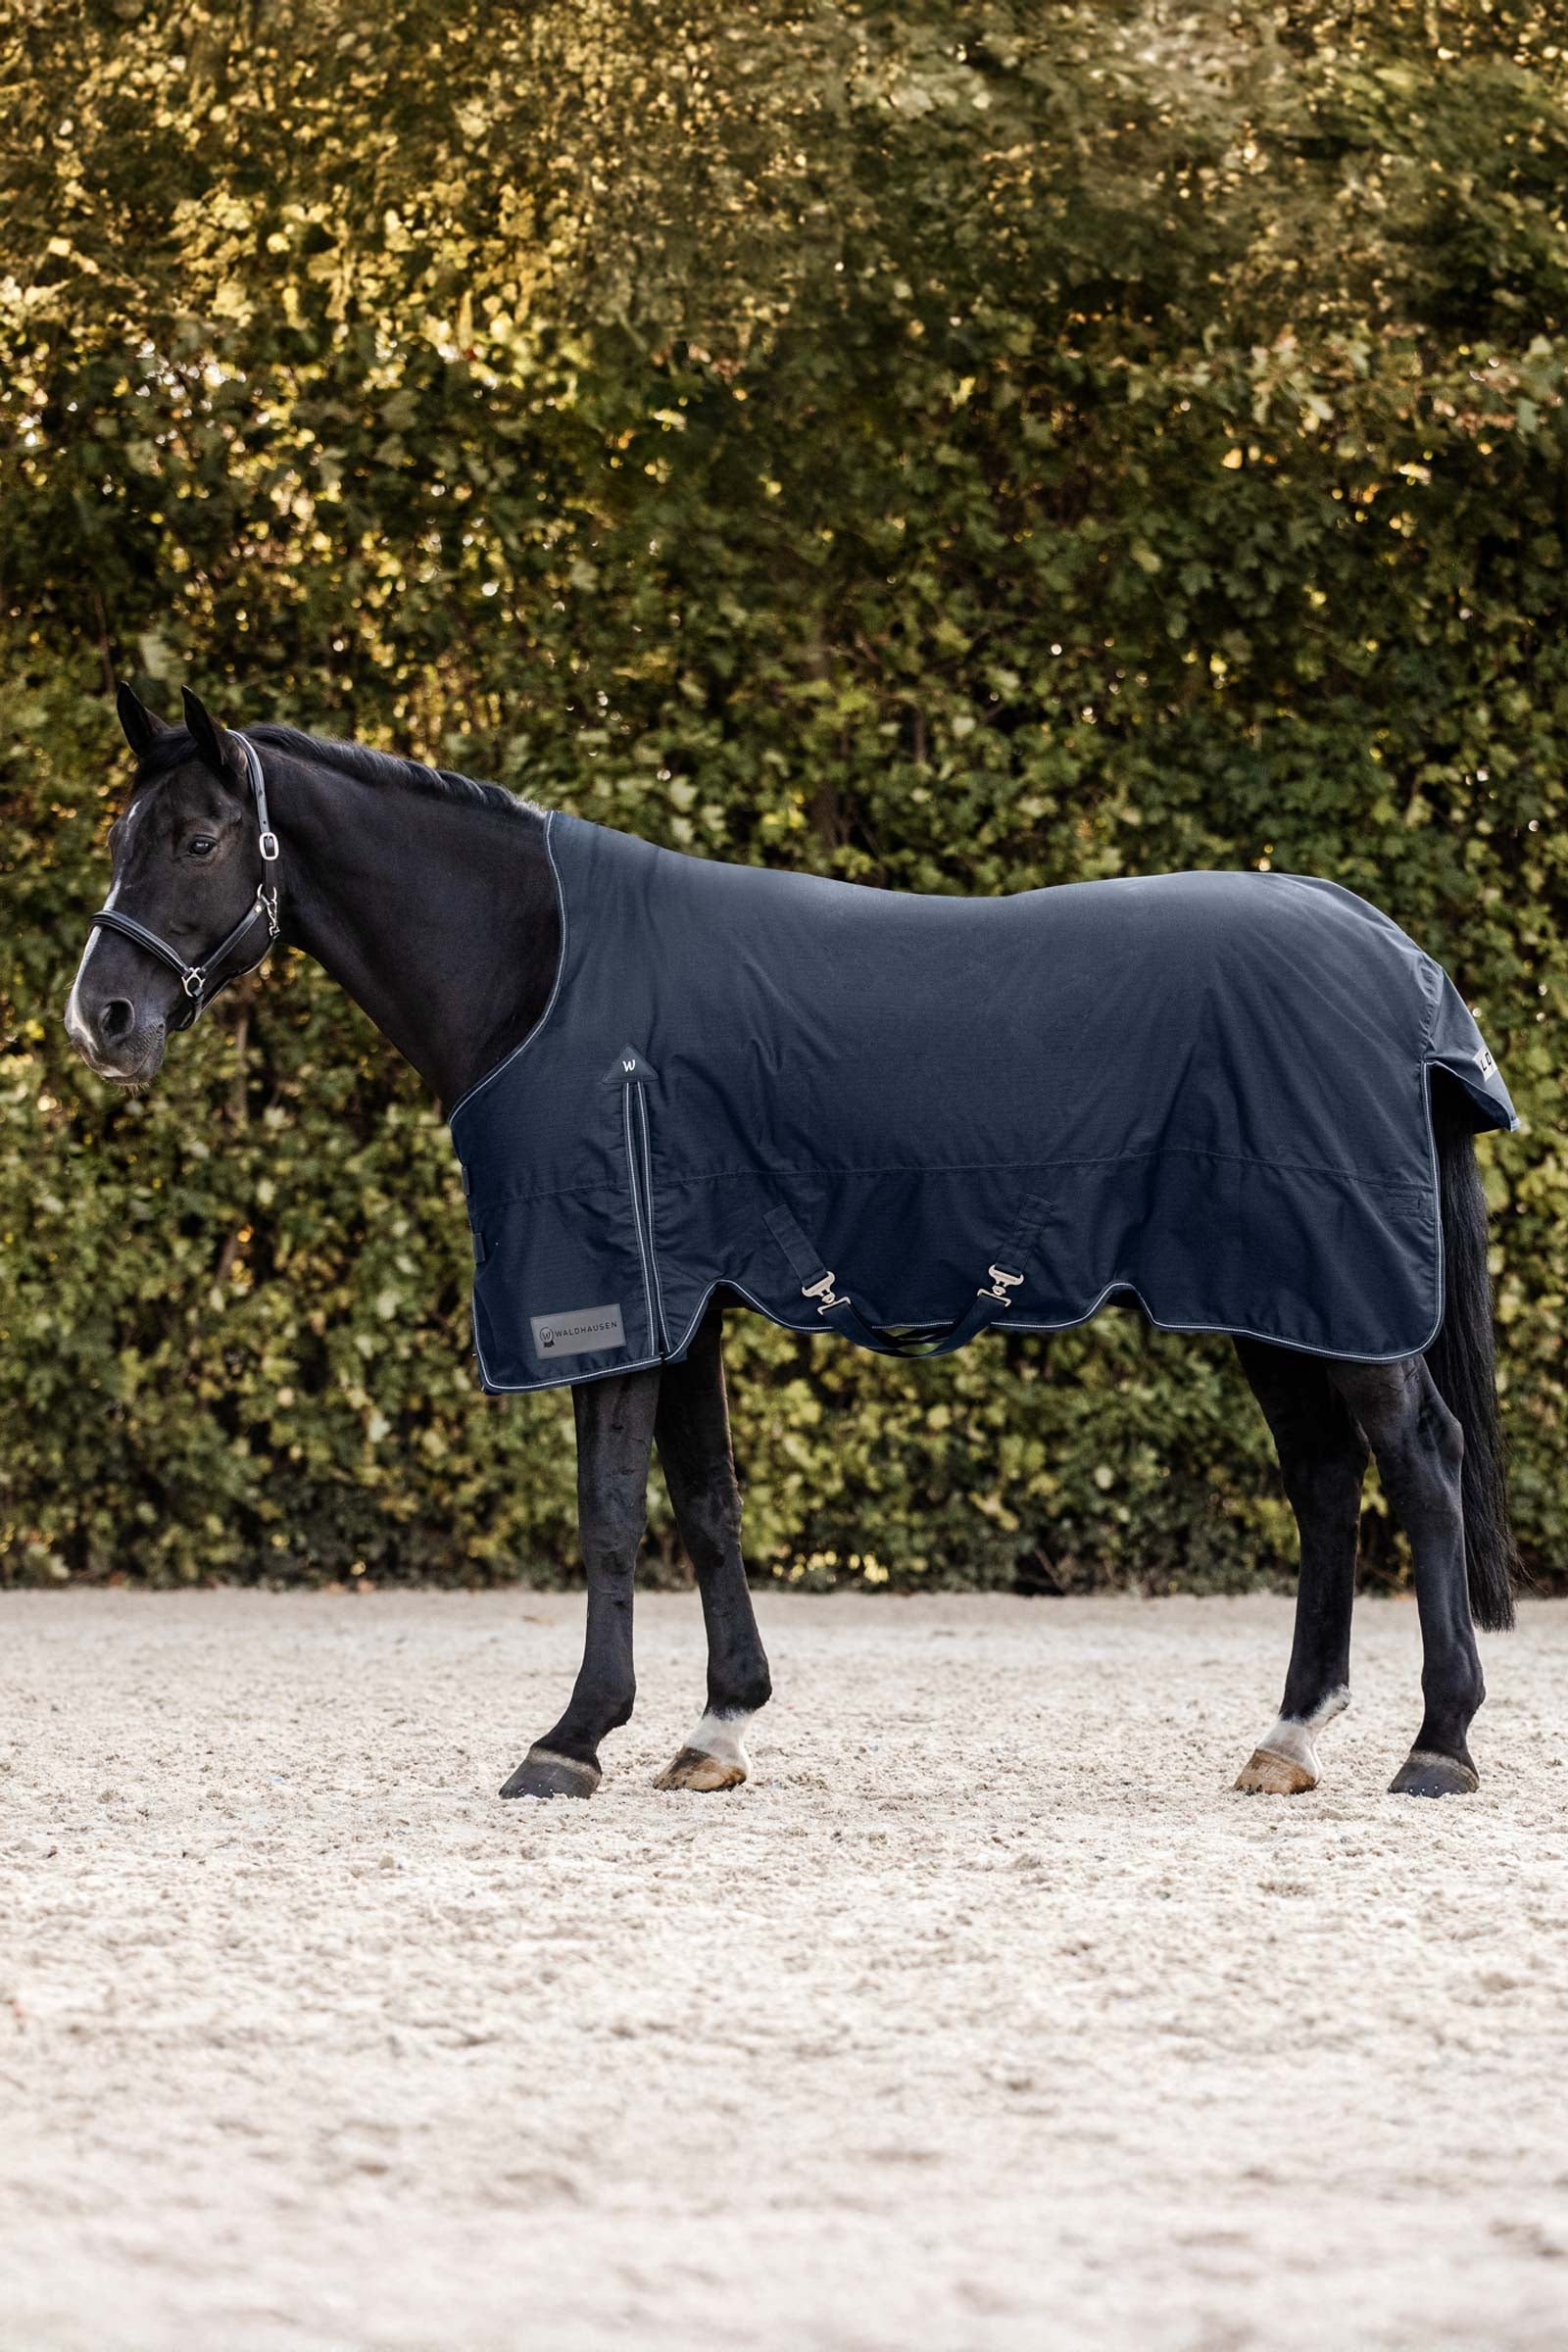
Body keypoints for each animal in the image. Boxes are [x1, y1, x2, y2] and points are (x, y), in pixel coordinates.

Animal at [63, 682, 1519, 1802]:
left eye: (199, 836)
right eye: (126, 831)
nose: (103, 1018)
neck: (548, 973)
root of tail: (1390, 954)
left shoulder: (611, 1299)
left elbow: (608, 1512)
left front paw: (571, 1740)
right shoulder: (685, 1299)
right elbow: (705, 1503)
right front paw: (716, 1727)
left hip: (1334, 1286)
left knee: (1421, 1460)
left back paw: (1439, 1744)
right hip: (1273, 1293)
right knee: (1326, 1479)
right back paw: (1289, 1737)